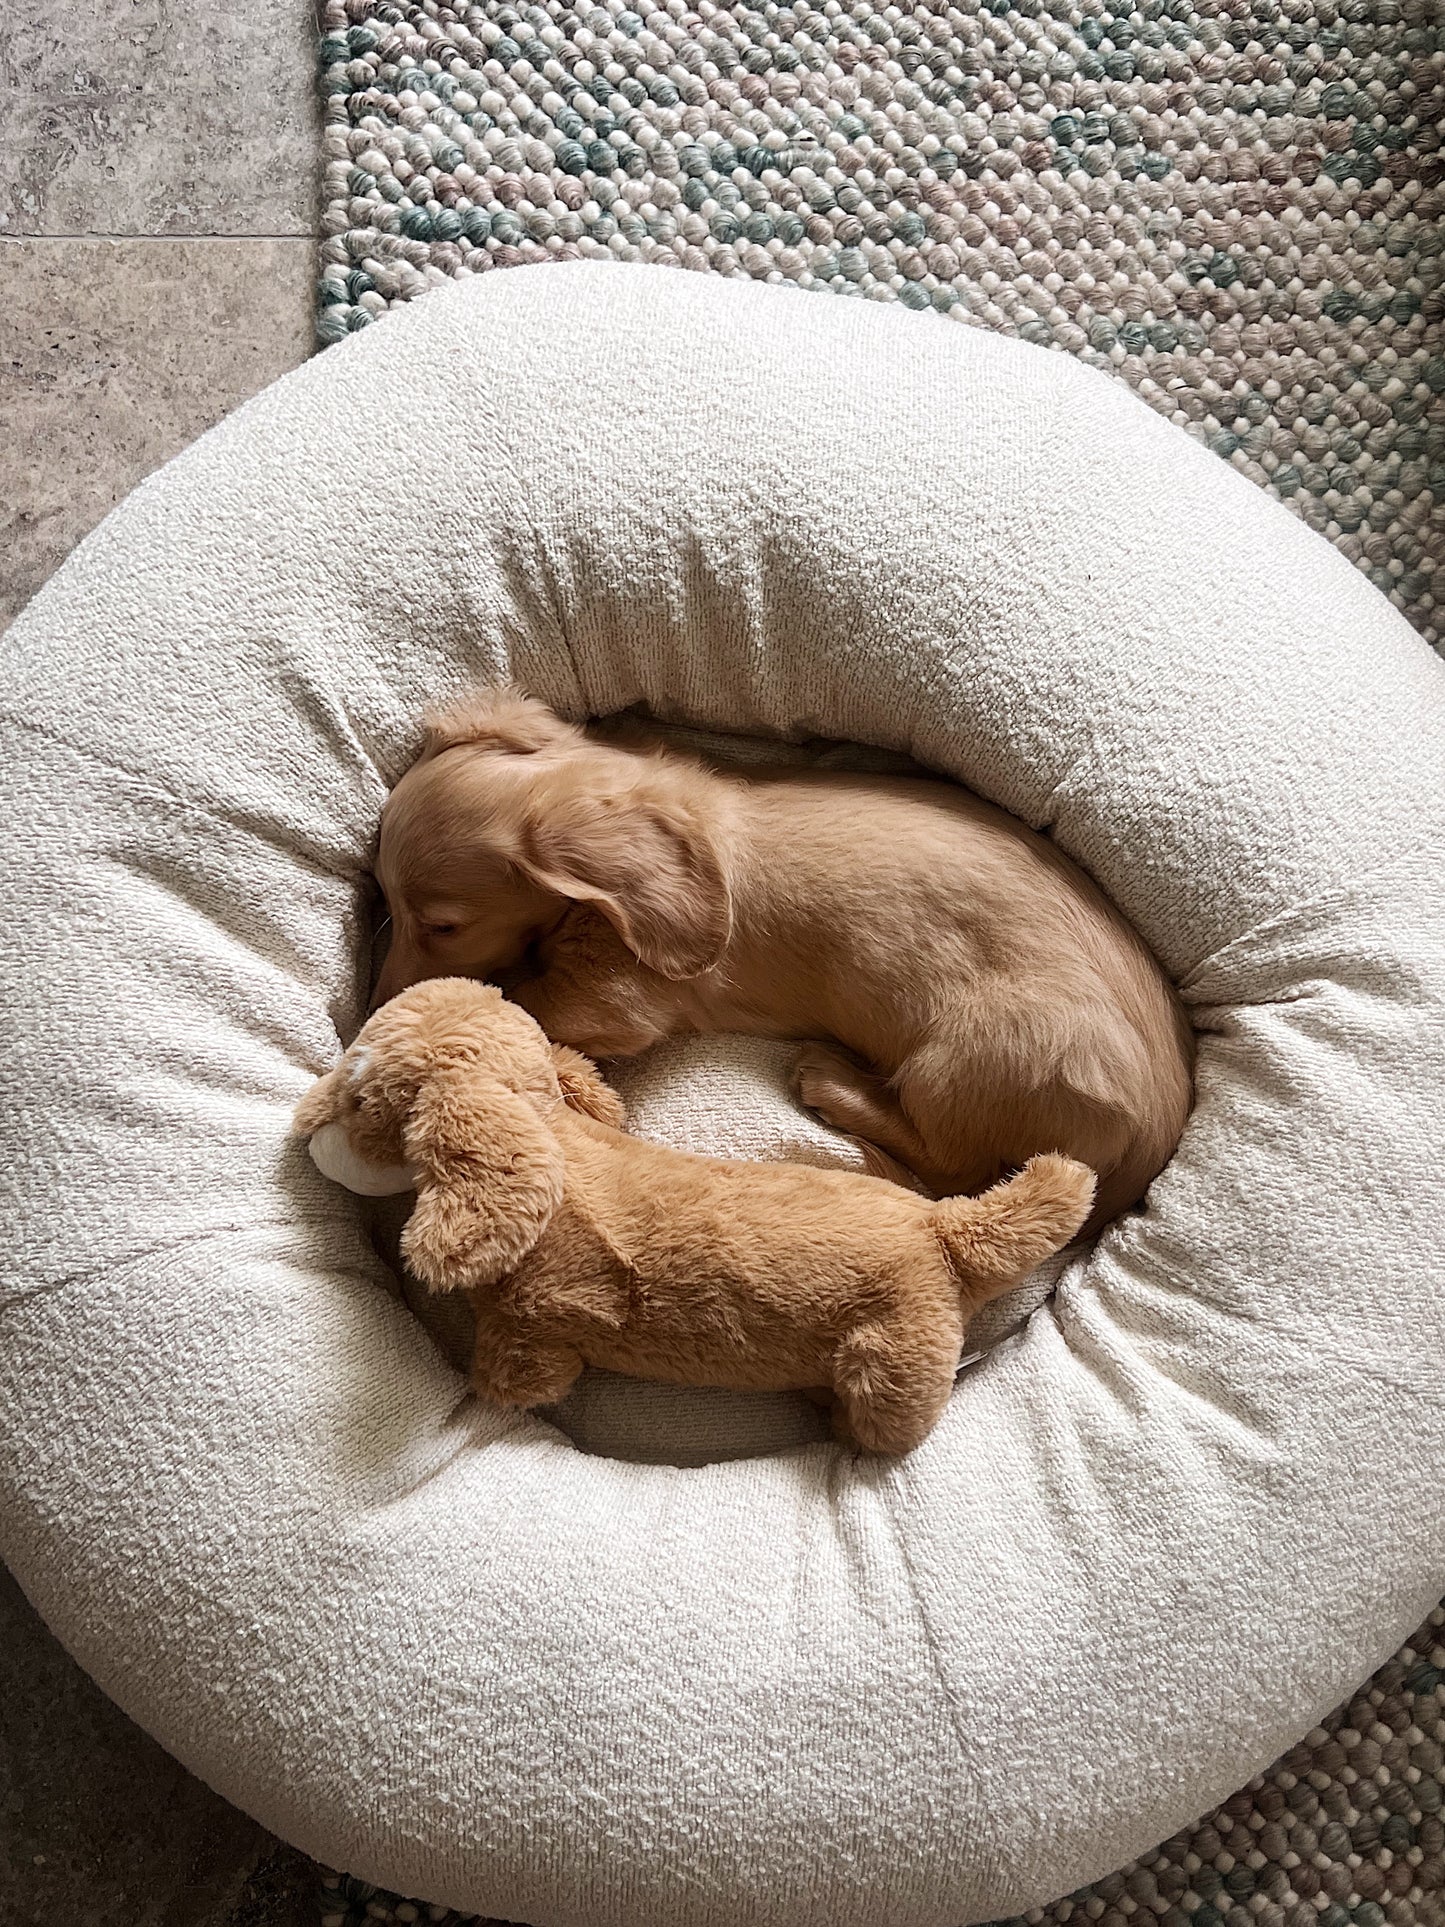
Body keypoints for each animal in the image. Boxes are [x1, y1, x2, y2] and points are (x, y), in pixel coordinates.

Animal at [294, 986, 1094, 1449]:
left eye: (363, 1099)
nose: (303, 1129)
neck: (555, 1136)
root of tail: (945, 1237)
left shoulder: (540, 1317)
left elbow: (523, 1367)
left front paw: (499, 1384)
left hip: (892, 1360)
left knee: (889, 1424)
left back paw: (838, 1424)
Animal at [375, 693, 1202, 1225]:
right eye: (383, 896)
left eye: (441, 925)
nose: (372, 1004)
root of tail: (1157, 1131)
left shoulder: (620, 995)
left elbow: (527, 998)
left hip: (966, 1060)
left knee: (951, 1163)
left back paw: (834, 1083)